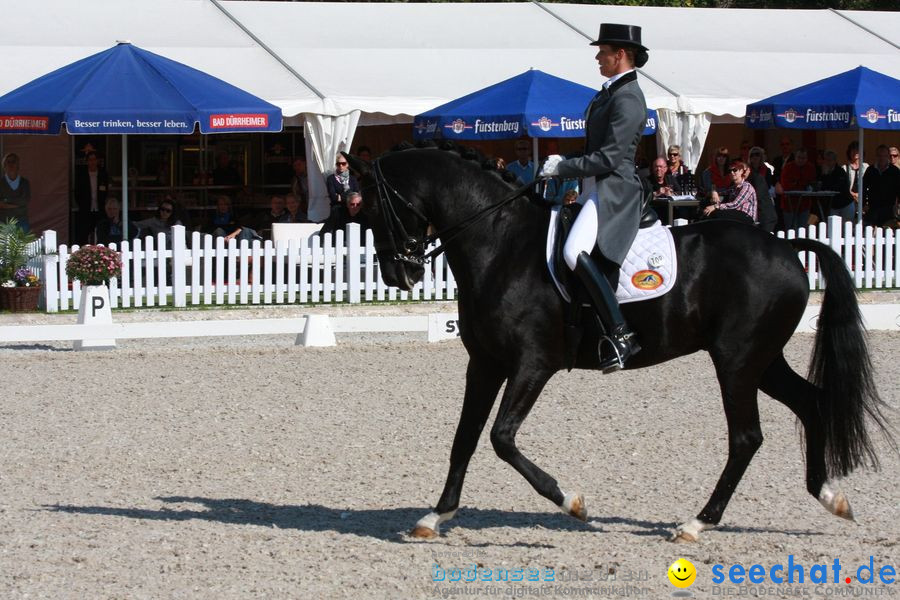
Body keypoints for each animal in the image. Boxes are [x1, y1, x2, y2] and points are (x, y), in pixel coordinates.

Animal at [348, 146, 888, 544]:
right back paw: (830, 497)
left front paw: (572, 502)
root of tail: (785, 245)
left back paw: (696, 524)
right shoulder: (484, 364)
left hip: (737, 362)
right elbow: (464, 439)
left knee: (746, 438)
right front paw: (435, 517)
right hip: (762, 360)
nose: (399, 275)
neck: (499, 243)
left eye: (373, 206)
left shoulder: (532, 364)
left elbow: (501, 438)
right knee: (811, 404)